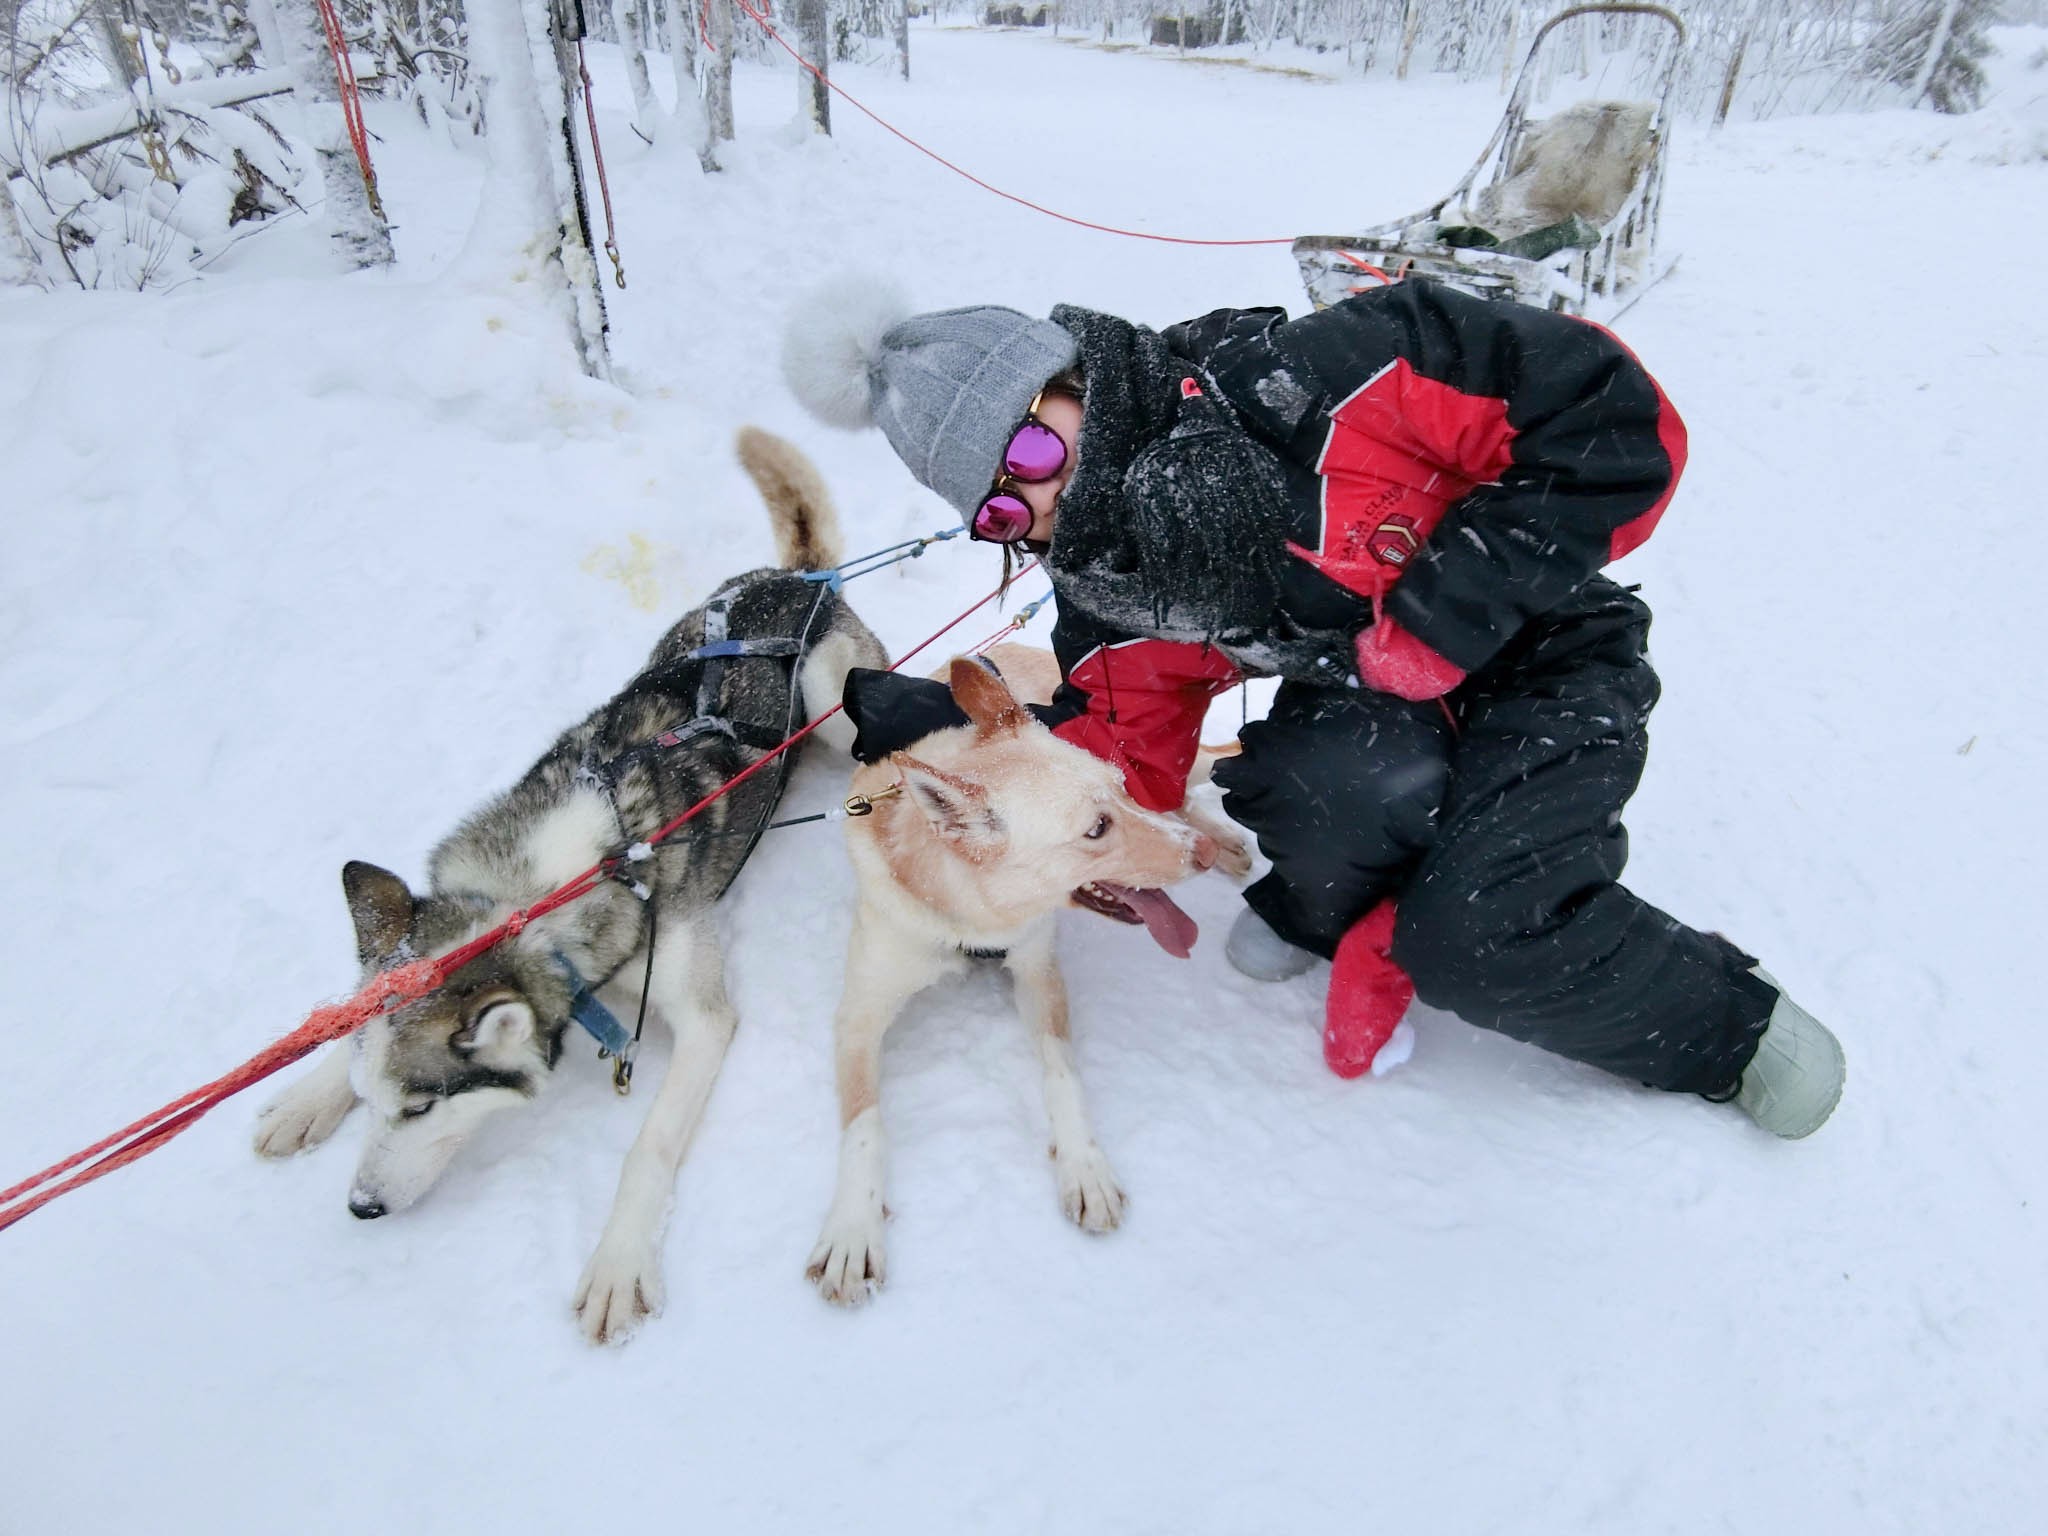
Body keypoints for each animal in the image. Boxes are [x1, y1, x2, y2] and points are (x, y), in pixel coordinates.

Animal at [806, 655, 1236, 1302]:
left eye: (1120, 790)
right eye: (1096, 829)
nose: (1202, 854)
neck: (968, 922)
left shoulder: (1037, 970)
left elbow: (1062, 1072)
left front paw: (1085, 1167)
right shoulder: (859, 1014)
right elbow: (864, 1122)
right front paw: (853, 1227)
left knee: (1204, 769)